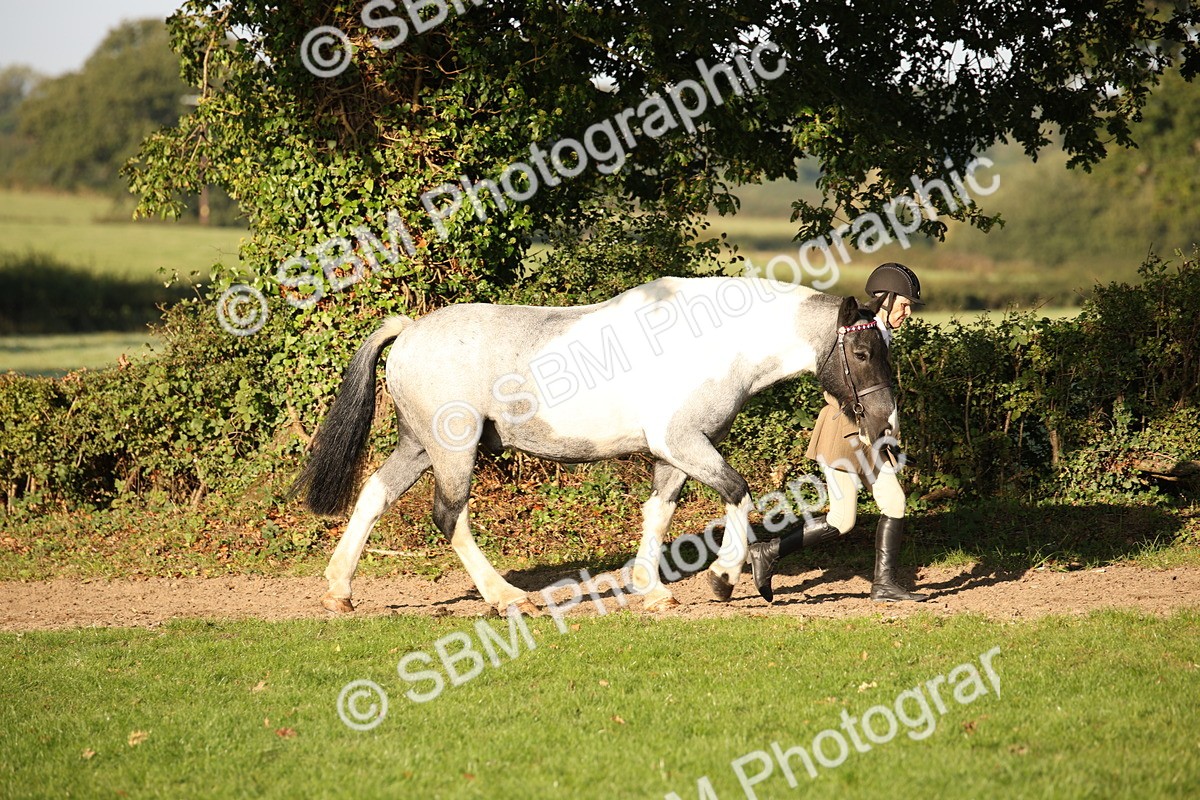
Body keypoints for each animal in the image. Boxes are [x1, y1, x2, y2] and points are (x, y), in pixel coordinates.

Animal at [291, 276, 897, 614]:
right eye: (863, 353)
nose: (885, 419)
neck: (718, 341)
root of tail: (410, 330)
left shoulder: (675, 451)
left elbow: (659, 510)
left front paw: (653, 590)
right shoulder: (682, 440)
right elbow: (738, 493)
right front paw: (724, 578)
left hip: (419, 446)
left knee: (374, 494)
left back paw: (339, 591)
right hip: (453, 451)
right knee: (448, 515)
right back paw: (507, 598)